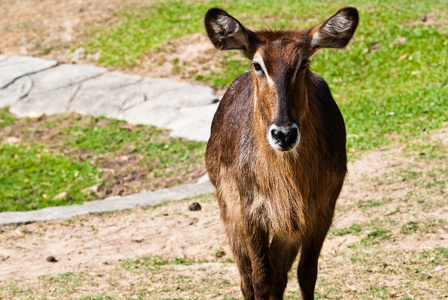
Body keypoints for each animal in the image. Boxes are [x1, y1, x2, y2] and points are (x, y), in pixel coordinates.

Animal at [205, 6, 358, 300]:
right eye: (257, 65)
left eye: (303, 63)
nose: (284, 134)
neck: (288, 177)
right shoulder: (250, 211)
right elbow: (260, 279)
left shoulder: (320, 211)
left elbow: (306, 273)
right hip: (230, 214)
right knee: (247, 278)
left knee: (279, 276)